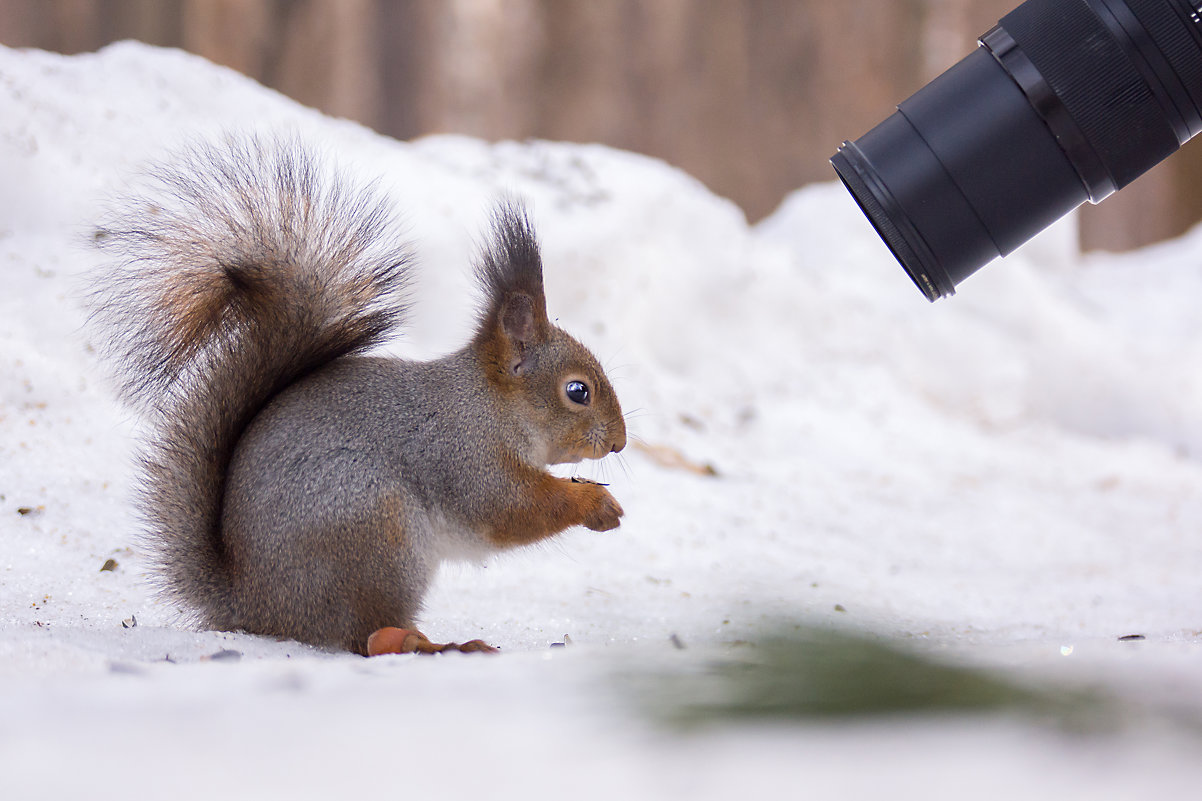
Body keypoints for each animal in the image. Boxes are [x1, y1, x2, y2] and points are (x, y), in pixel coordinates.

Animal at [91, 132, 629, 654]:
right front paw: (593, 503)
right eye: (578, 391)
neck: (488, 405)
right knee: (366, 636)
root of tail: (253, 605)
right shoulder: (463, 455)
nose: (619, 442)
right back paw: (436, 644)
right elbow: (510, 507)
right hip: (377, 531)